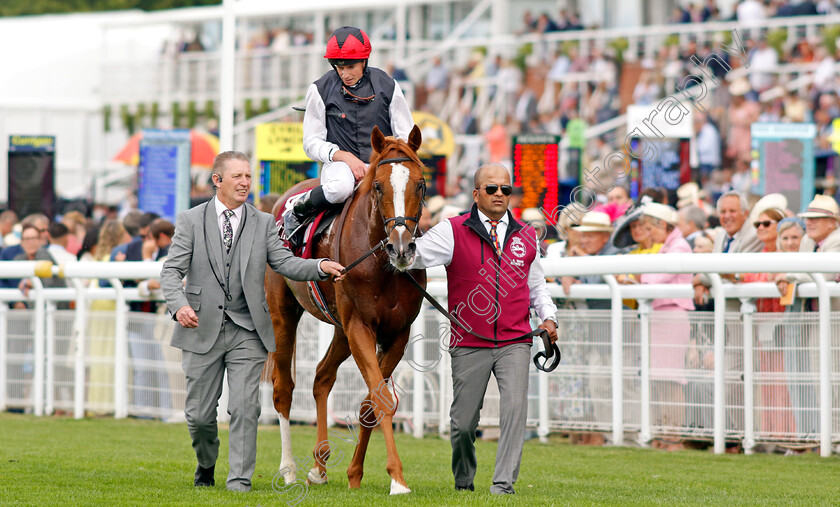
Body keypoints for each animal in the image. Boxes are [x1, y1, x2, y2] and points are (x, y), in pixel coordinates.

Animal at [266, 125, 426, 494]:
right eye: (378, 186)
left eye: (420, 183)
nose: (401, 248)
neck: (381, 264)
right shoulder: (360, 327)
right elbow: (381, 400)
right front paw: (398, 480)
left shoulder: (397, 332)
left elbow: (371, 401)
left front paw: (356, 474)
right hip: (283, 313)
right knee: (284, 389)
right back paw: (289, 469)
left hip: (339, 329)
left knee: (322, 376)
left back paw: (319, 466)